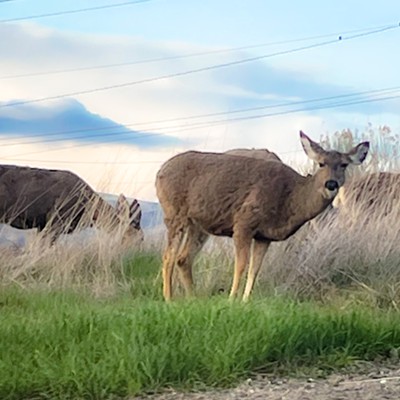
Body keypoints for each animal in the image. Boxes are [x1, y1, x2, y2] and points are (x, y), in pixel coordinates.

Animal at [155, 130, 368, 300]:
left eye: (344, 165)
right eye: (321, 163)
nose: (331, 184)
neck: (291, 197)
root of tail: (159, 172)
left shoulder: (264, 236)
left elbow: (254, 270)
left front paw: (244, 302)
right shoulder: (243, 223)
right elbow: (241, 265)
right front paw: (231, 300)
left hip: (197, 225)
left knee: (183, 258)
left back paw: (192, 298)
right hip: (174, 213)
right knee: (168, 256)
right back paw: (169, 299)